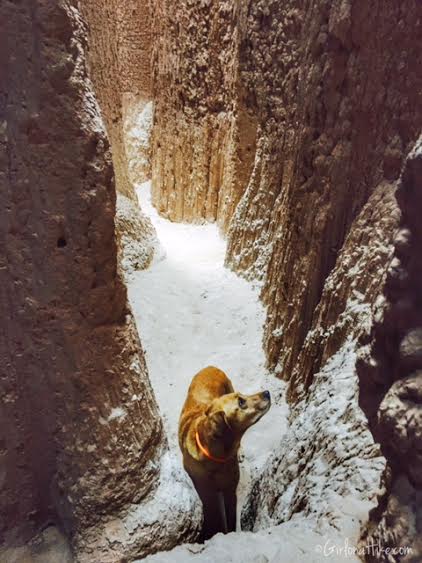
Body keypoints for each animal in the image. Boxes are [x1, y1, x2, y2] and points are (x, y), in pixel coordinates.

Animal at [178, 366, 270, 540]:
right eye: (241, 402)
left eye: (242, 397)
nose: (267, 392)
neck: (215, 458)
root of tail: (210, 367)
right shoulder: (207, 495)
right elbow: (215, 517)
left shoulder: (230, 491)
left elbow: (231, 520)